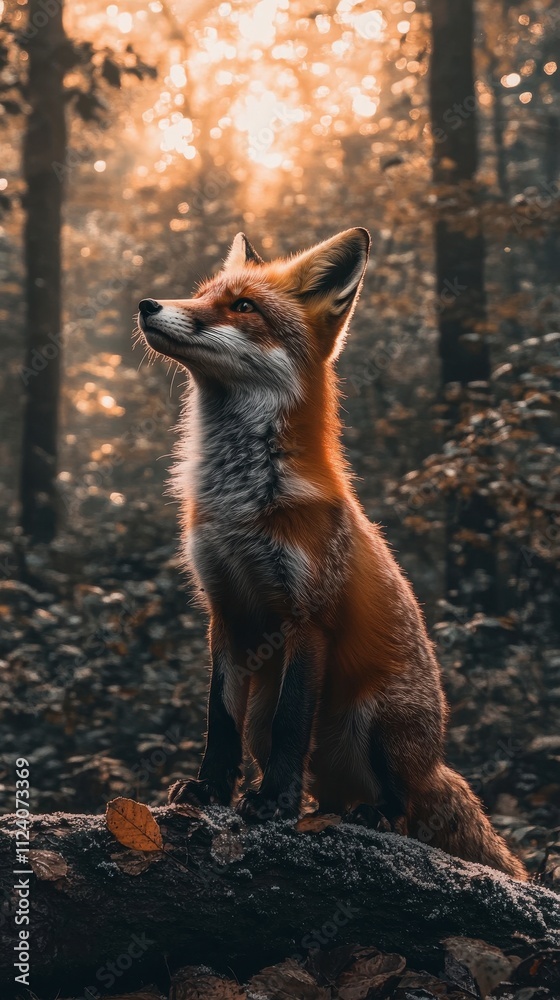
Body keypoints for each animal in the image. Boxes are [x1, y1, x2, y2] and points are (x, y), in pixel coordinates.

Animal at [137, 228, 527, 881]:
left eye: (244, 306)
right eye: (202, 294)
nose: (147, 305)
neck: (242, 501)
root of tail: (436, 761)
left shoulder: (308, 617)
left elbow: (295, 724)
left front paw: (274, 803)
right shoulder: (225, 611)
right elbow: (219, 718)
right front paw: (210, 789)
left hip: (380, 718)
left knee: (404, 806)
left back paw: (372, 816)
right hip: (282, 720)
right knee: (329, 789)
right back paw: (329, 810)